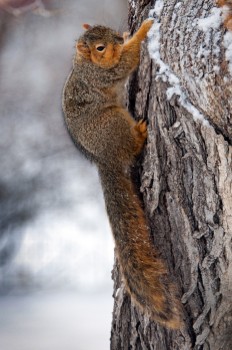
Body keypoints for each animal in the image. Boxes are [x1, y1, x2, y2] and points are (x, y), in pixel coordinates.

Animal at [62, 19, 182, 330]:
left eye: (107, 30)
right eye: (100, 47)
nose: (119, 36)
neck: (84, 62)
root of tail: (105, 160)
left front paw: (131, 33)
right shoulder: (104, 74)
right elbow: (126, 61)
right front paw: (144, 29)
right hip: (114, 122)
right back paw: (139, 134)